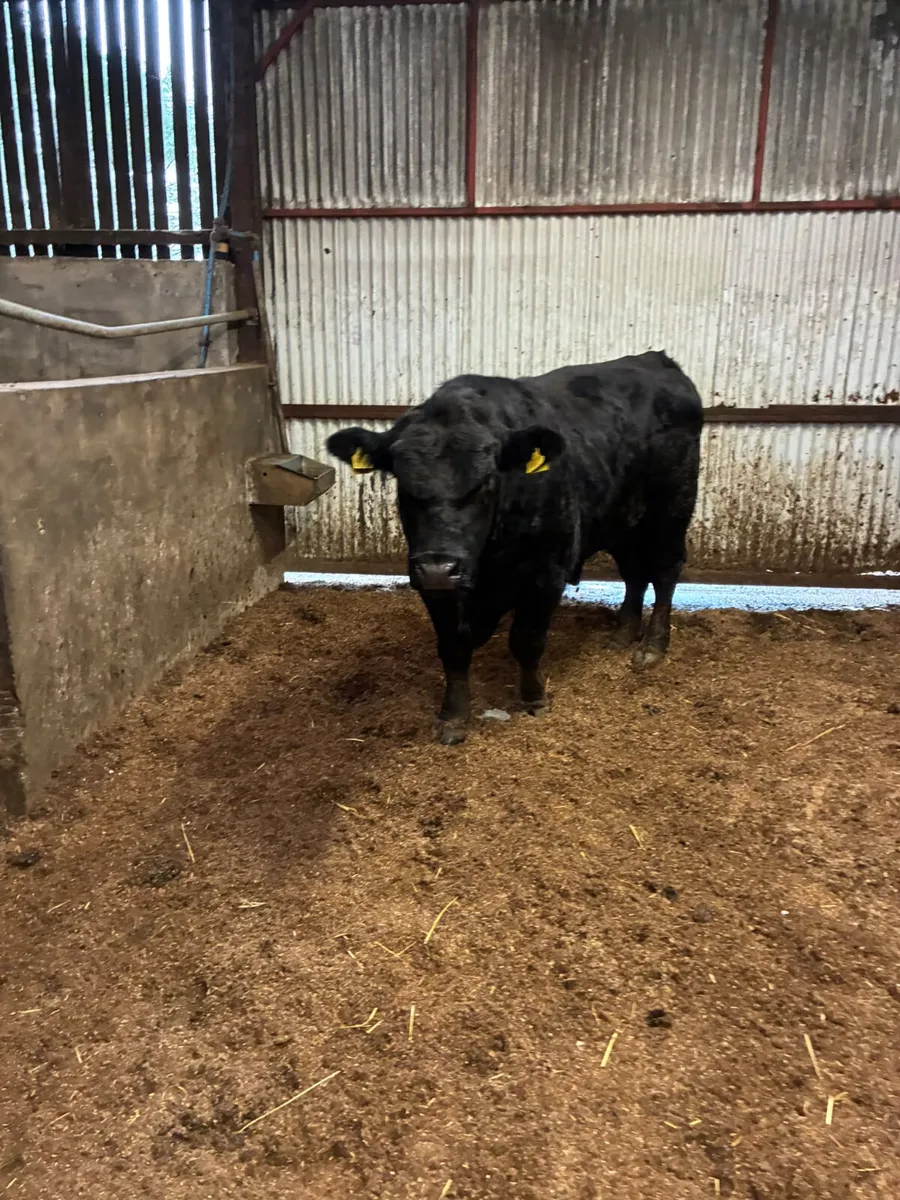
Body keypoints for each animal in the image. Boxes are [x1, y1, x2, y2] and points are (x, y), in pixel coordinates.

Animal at [327, 351, 703, 745]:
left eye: (486, 482)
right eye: (403, 483)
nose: (439, 568)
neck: (488, 565)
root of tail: (655, 360)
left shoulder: (546, 573)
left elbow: (526, 640)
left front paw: (534, 698)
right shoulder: (433, 584)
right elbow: (453, 647)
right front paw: (453, 716)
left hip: (672, 510)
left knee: (665, 572)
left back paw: (652, 647)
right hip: (622, 520)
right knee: (634, 574)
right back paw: (622, 635)